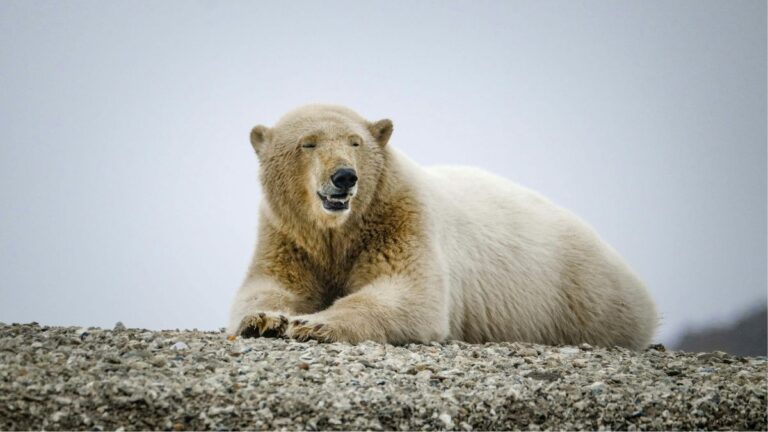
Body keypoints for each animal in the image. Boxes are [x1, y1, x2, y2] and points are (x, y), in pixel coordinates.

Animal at [227, 104, 658, 349]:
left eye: (355, 142)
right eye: (309, 143)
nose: (345, 177)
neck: (341, 229)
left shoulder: (401, 218)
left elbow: (409, 293)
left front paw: (312, 324)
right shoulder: (288, 235)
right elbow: (270, 286)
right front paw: (265, 320)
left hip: (580, 295)